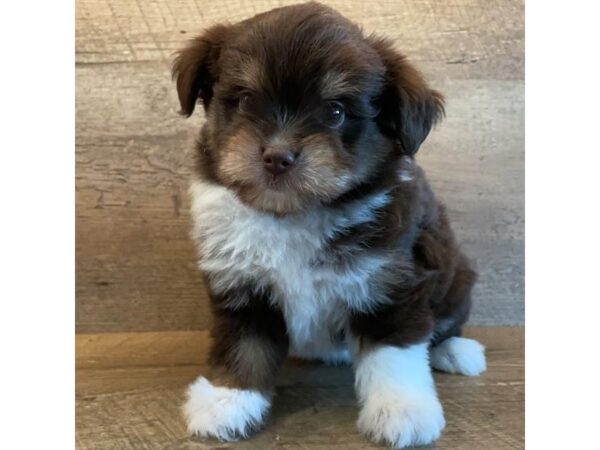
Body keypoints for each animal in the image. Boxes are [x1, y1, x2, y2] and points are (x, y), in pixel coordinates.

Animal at [171, 2, 486, 446]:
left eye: (335, 112)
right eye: (246, 101)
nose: (277, 156)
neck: (295, 213)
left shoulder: (390, 282)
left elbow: (395, 351)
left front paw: (402, 409)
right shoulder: (241, 283)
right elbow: (242, 346)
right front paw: (227, 399)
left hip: (455, 280)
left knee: (443, 325)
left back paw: (455, 351)